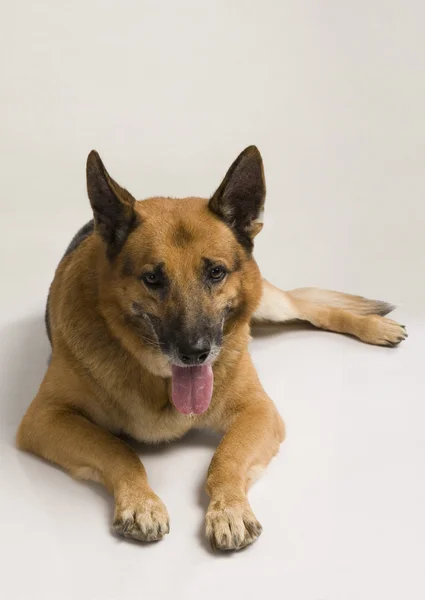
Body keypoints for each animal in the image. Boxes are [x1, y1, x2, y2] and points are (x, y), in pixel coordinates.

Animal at [17, 148, 408, 552]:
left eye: (216, 273)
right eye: (152, 278)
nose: (195, 353)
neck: (159, 380)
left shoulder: (259, 410)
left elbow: (225, 460)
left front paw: (229, 508)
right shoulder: (45, 418)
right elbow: (119, 450)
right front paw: (141, 501)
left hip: (273, 304)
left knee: (313, 309)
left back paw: (374, 327)